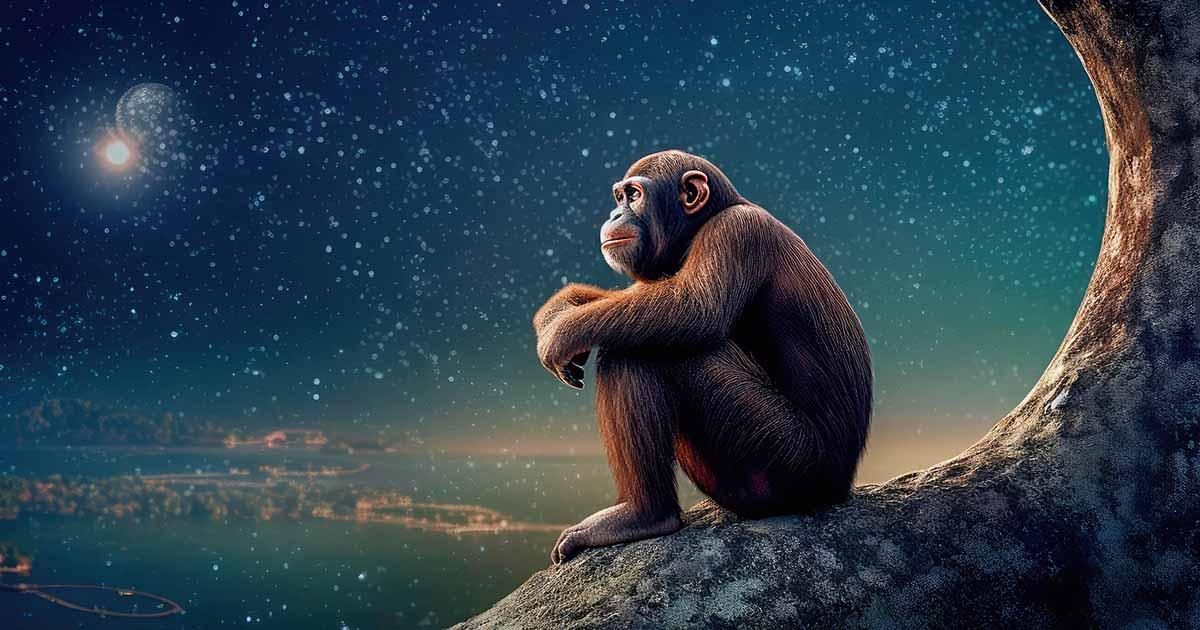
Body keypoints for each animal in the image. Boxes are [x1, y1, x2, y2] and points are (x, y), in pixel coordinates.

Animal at [534, 150, 873, 564]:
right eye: (619, 196)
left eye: (633, 195)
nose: (614, 213)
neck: (708, 218)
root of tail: (840, 488)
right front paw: (559, 307)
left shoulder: (735, 233)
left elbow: (695, 307)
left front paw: (562, 331)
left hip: (786, 455)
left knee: (638, 350)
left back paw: (644, 514)